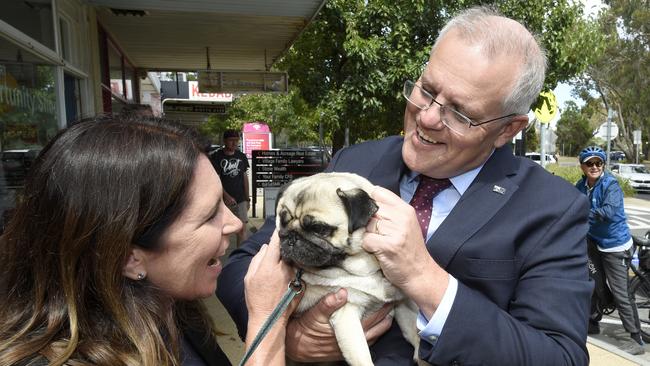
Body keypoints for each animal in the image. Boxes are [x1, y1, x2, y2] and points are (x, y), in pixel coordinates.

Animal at [274, 172, 418, 366]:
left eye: (318, 228)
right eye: (282, 223)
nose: (290, 237)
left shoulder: (402, 303)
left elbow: (413, 330)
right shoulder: (346, 314)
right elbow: (362, 357)